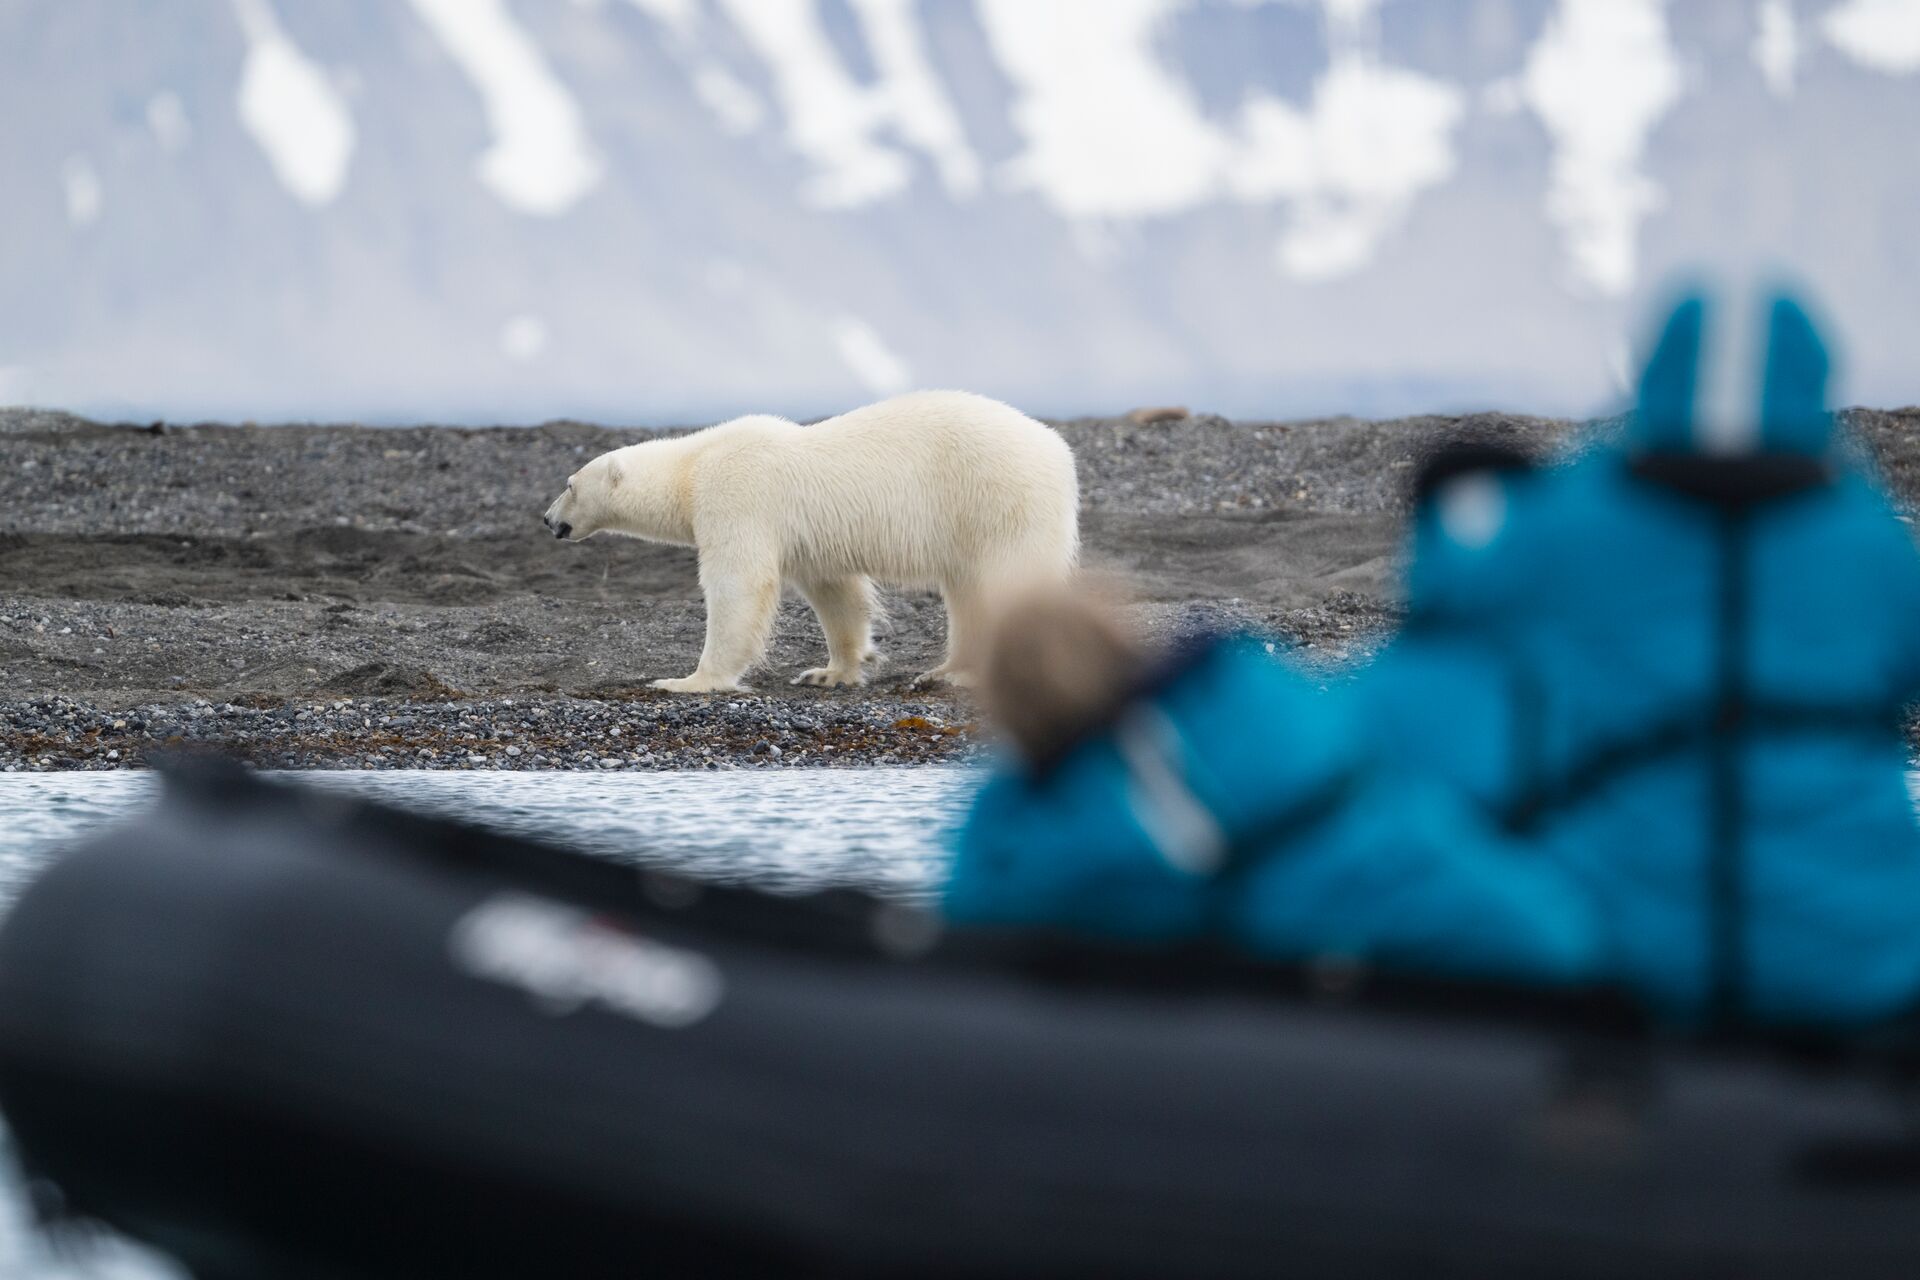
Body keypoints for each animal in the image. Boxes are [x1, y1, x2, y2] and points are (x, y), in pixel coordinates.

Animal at [541, 390, 1080, 694]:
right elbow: (836, 593)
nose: (548, 520)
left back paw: (969, 674)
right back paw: (943, 670)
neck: (694, 465)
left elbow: (739, 585)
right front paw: (831, 671)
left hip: (996, 500)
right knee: (967, 592)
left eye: (569, 484)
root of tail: (1058, 452)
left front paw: (688, 681)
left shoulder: (737, 497)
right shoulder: (809, 541)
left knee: (1005, 583)